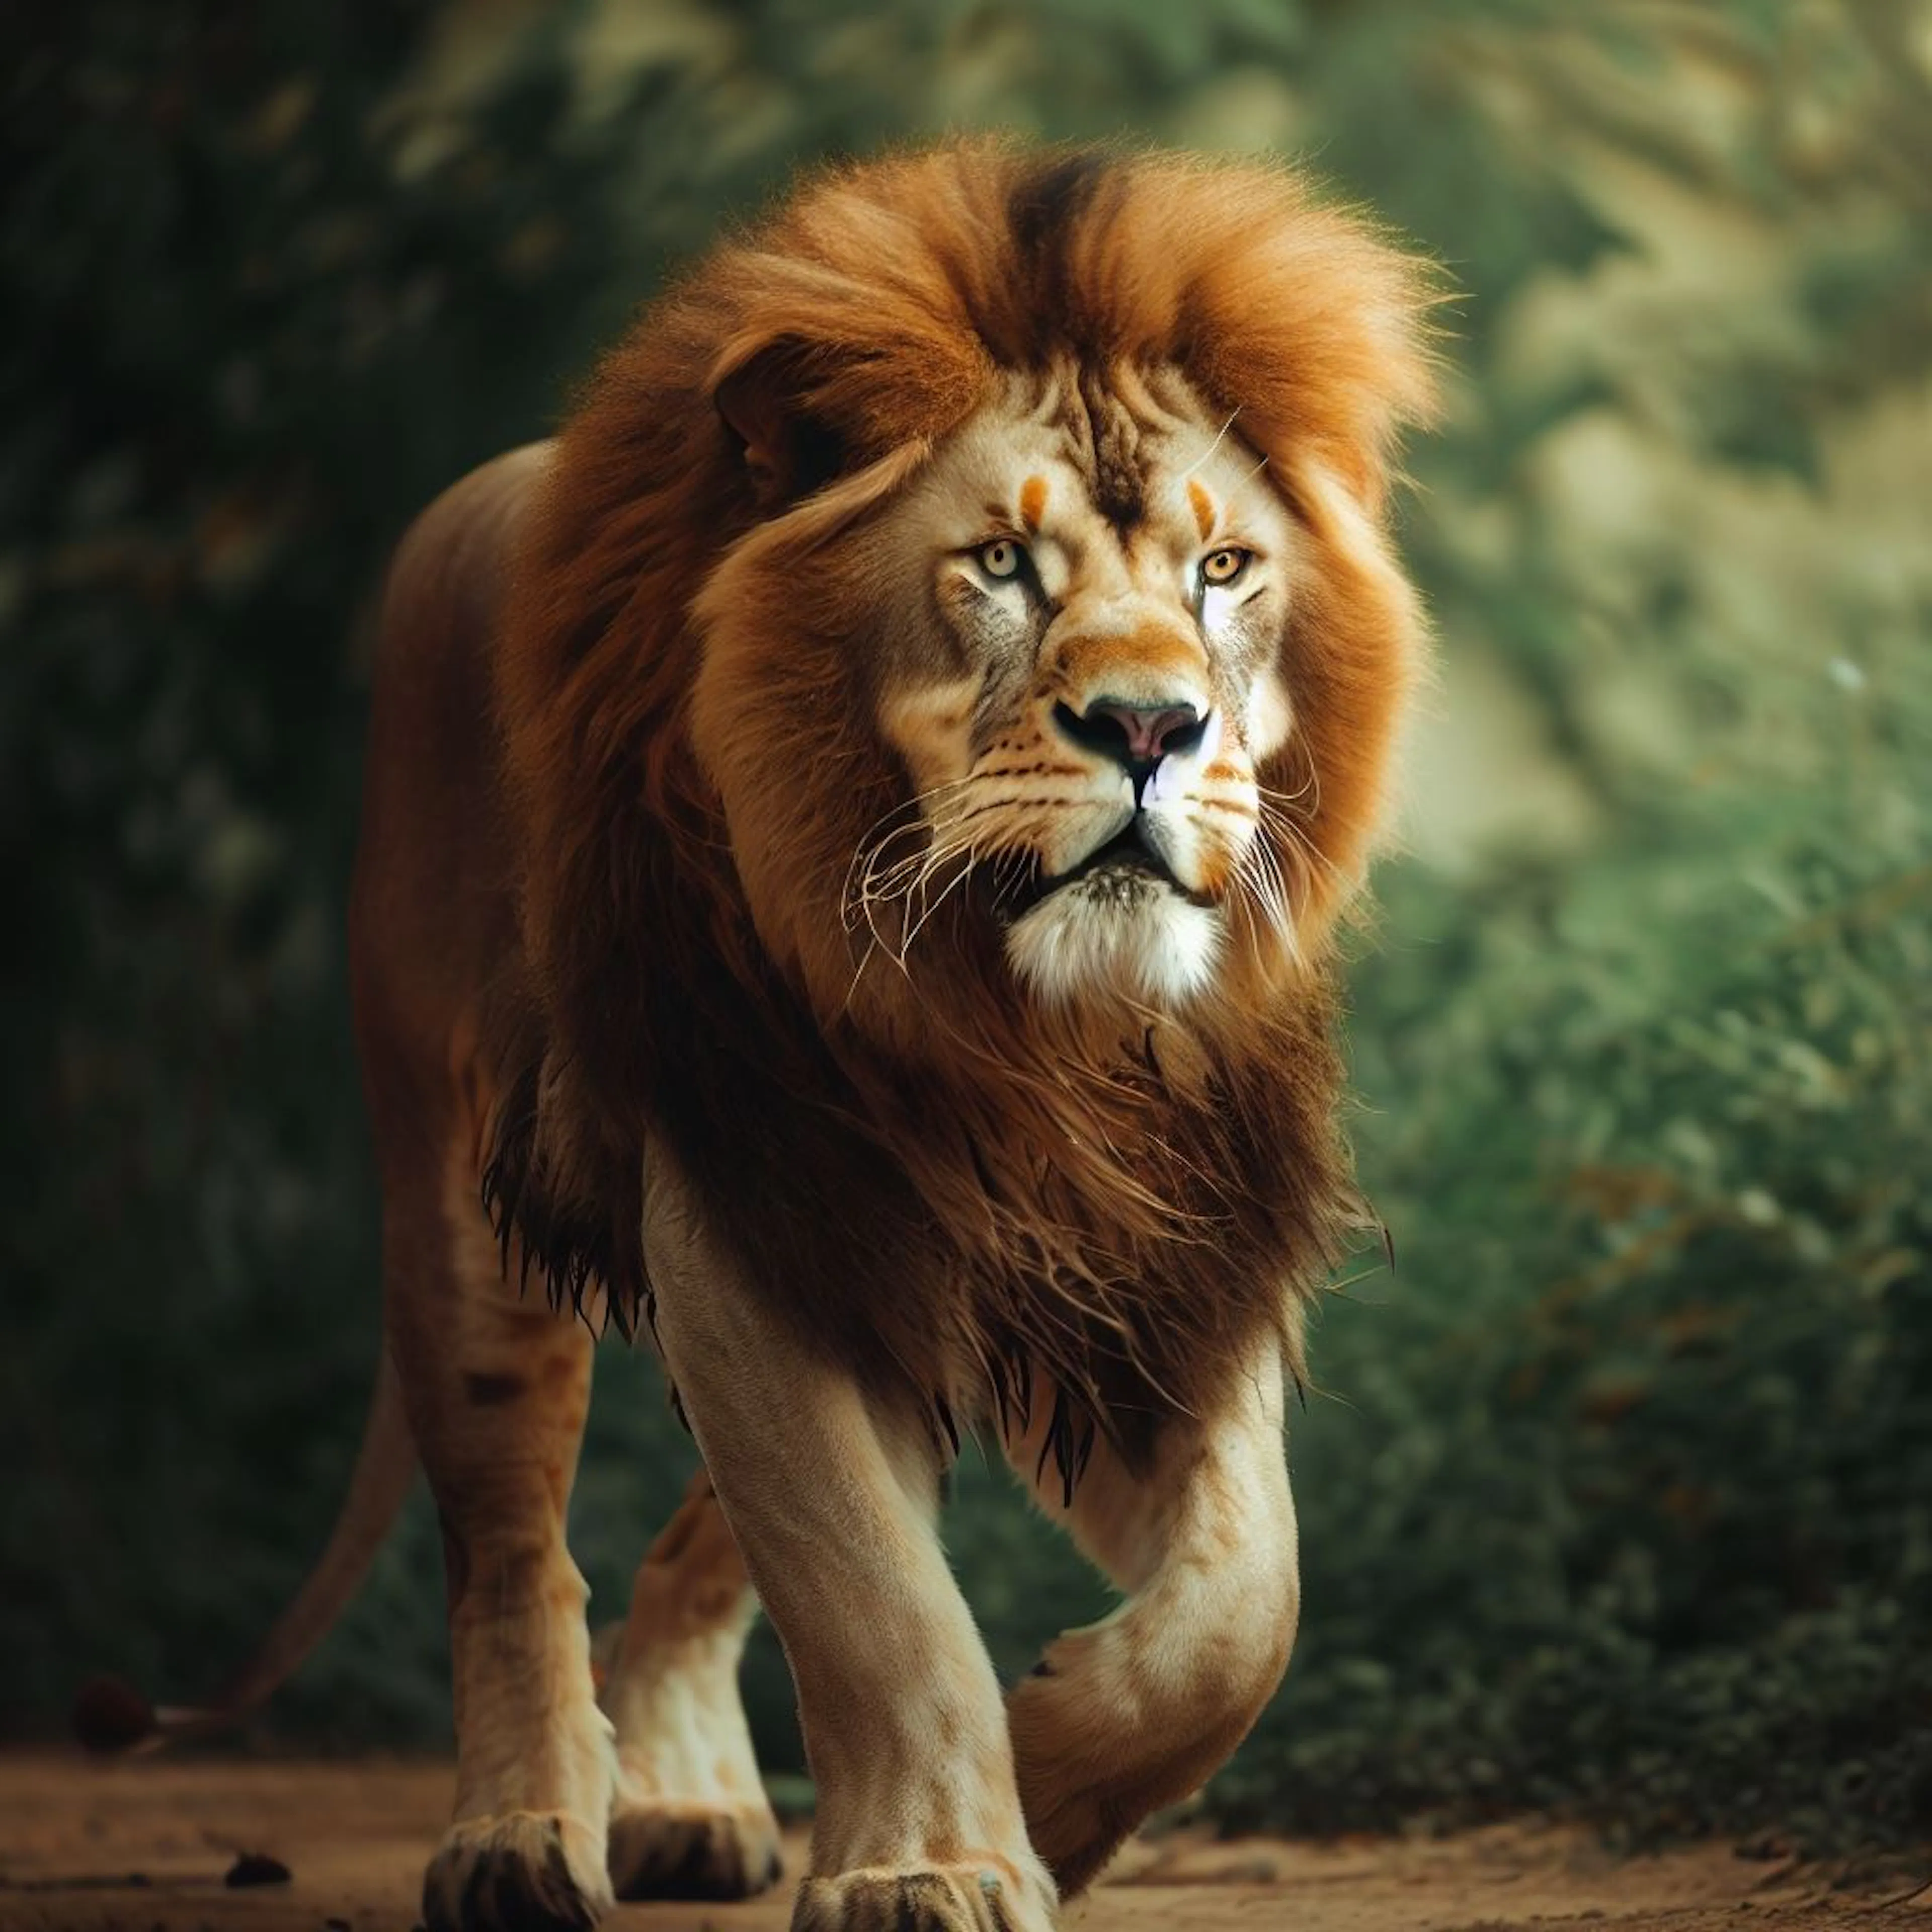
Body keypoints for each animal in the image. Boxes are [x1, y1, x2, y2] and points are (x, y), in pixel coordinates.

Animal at [79, 143, 1437, 1932]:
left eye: (1223, 573)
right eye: (1000, 566)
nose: (1151, 725)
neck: (1019, 1022)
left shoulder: (1136, 1257)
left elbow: (1246, 1604)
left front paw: (1060, 1777)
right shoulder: (750, 1220)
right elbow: (875, 1599)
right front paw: (934, 1858)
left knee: (685, 1548)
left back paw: (683, 1801)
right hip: (466, 1200)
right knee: (510, 1551)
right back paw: (521, 1835)